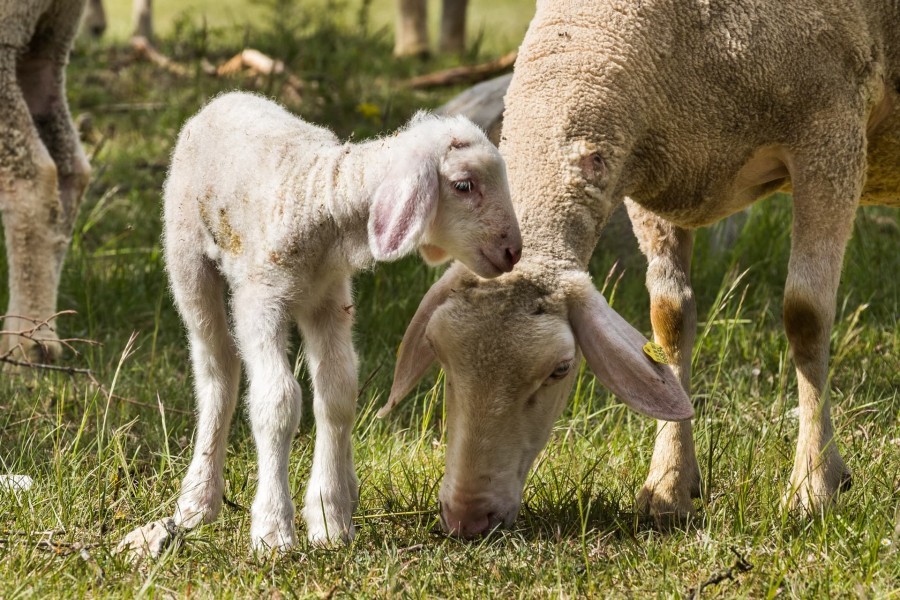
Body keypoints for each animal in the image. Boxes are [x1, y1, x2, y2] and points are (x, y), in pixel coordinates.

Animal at [116, 91, 520, 556]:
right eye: (463, 185)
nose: (513, 251)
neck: (321, 193)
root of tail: (225, 98)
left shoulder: (329, 300)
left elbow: (337, 392)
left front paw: (330, 519)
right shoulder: (259, 299)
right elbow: (278, 400)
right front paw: (273, 530)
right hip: (188, 258)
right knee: (217, 371)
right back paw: (199, 500)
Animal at [380, 0, 900, 536]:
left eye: (560, 369)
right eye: (440, 357)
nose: (467, 517)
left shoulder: (832, 133)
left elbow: (805, 315)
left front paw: (815, 487)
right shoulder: (662, 182)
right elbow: (668, 319)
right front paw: (669, 486)